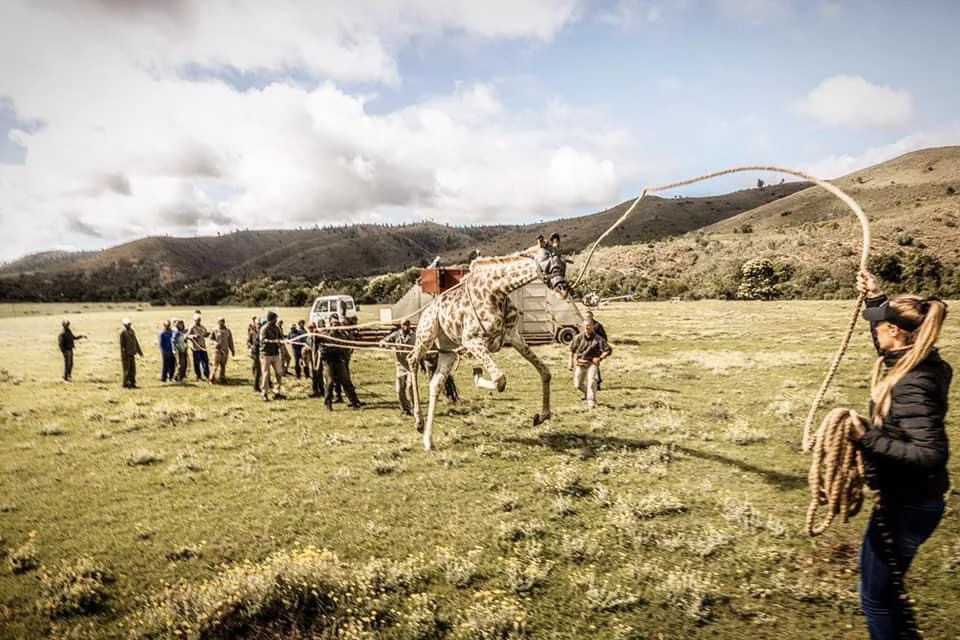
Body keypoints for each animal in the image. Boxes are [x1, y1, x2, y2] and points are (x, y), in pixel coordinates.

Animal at [407, 236, 572, 450]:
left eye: (564, 263)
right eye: (547, 263)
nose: (563, 289)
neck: (497, 291)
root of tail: (426, 310)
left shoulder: (514, 337)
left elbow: (545, 371)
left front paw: (541, 416)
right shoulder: (472, 340)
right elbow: (500, 380)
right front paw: (477, 377)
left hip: (448, 350)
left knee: (436, 383)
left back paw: (428, 440)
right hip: (426, 335)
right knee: (412, 359)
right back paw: (418, 420)